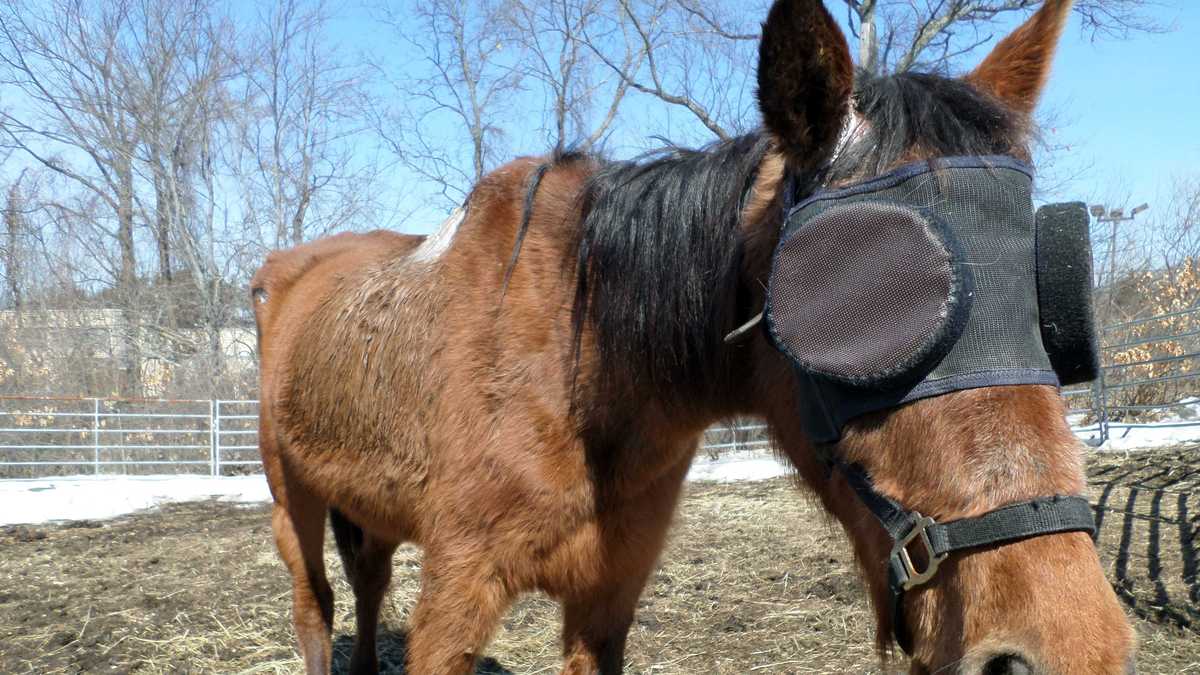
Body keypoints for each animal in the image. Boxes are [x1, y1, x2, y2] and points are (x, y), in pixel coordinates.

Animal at [252, 1, 1135, 673]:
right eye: (855, 299)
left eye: (1047, 296)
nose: (1074, 647)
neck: (574, 366)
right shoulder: (455, 594)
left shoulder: (607, 598)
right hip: (293, 499)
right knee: (316, 607)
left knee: (367, 585)